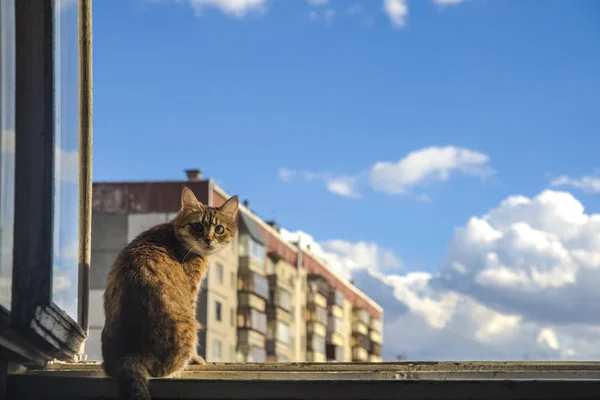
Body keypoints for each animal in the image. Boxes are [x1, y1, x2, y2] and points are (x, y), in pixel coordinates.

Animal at [100, 188, 237, 400]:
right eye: (197, 227)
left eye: (219, 229)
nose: (208, 240)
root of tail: (134, 354)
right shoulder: (192, 291)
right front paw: (196, 359)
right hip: (189, 327)